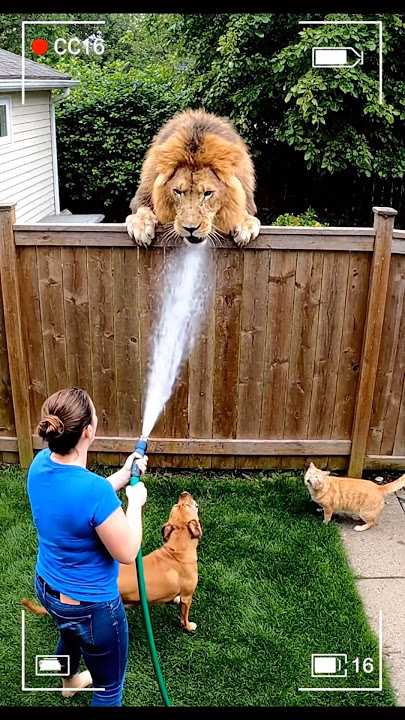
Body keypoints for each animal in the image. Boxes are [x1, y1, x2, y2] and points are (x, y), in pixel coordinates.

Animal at [126, 109, 261, 247]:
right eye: (177, 191)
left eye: (208, 193)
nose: (190, 229)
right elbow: (142, 209)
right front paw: (141, 226)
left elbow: (244, 212)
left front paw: (245, 226)